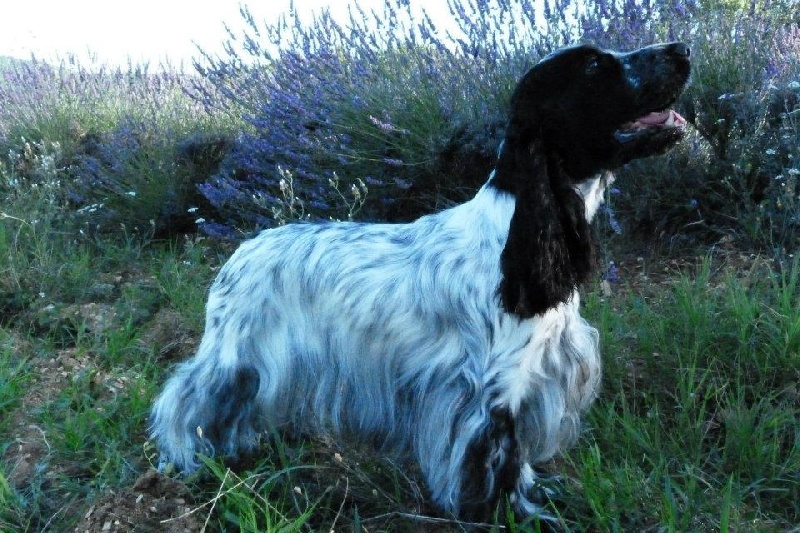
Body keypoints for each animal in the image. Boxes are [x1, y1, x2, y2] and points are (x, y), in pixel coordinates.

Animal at [150, 42, 691, 521]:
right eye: (595, 67)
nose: (682, 49)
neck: (514, 228)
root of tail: (240, 252)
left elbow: (520, 462)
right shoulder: (494, 391)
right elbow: (496, 462)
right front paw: (507, 514)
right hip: (236, 355)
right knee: (186, 399)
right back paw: (186, 460)